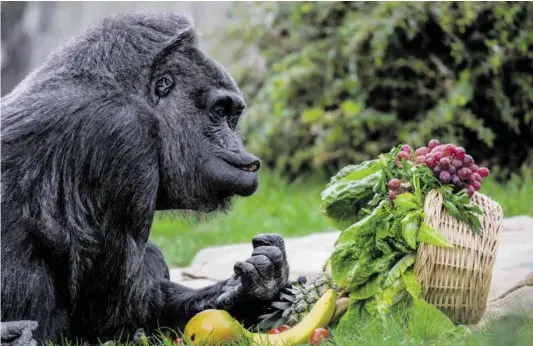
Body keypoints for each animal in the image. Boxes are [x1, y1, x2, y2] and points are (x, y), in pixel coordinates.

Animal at [0, 12, 288, 344]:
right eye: (219, 111)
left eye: (233, 116)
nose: (239, 147)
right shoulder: (122, 138)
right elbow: (110, 310)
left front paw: (253, 289)